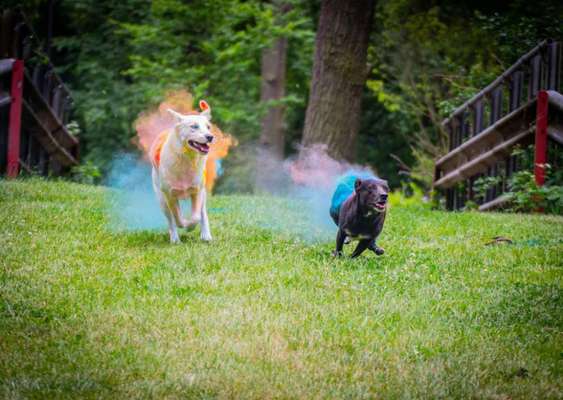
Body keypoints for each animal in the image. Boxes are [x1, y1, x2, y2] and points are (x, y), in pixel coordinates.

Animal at [151, 101, 215, 242]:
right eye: (194, 126)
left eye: (208, 127)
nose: (210, 137)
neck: (187, 159)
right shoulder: (170, 195)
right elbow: (177, 218)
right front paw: (185, 225)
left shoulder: (197, 191)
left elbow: (196, 216)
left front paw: (190, 226)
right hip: (161, 199)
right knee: (170, 220)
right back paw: (175, 239)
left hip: (203, 193)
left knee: (203, 214)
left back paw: (206, 235)